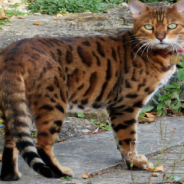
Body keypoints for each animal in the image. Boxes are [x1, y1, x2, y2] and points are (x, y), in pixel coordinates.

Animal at [0, 0, 184, 181]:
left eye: (172, 25)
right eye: (148, 27)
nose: (161, 37)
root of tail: (13, 52)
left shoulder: (115, 107)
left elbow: (118, 138)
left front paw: (128, 161)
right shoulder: (125, 104)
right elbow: (128, 139)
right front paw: (135, 163)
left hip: (17, 107)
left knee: (12, 141)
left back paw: (11, 175)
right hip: (52, 104)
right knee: (41, 144)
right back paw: (59, 172)